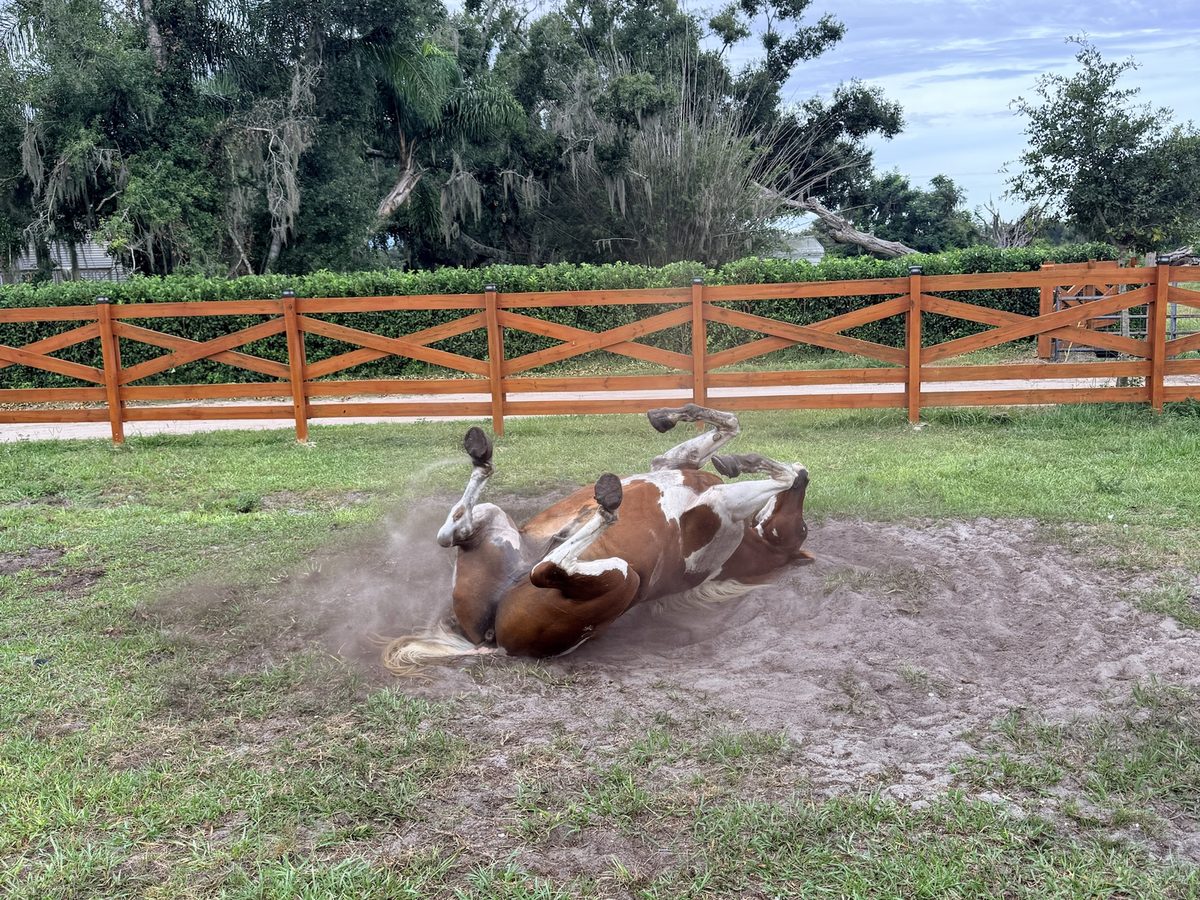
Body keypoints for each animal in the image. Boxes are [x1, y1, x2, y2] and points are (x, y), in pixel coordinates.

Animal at [382, 404, 813, 673]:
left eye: (803, 528)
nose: (808, 474)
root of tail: (494, 642)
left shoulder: (724, 503)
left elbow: (776, 471)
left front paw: (755, 463)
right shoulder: (673, 464)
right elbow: (729, 425)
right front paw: (670, 419)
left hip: (623, 574)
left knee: (547, 568)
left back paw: (605, 506)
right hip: (494, 522)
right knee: (455, 531)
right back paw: (482, 454)